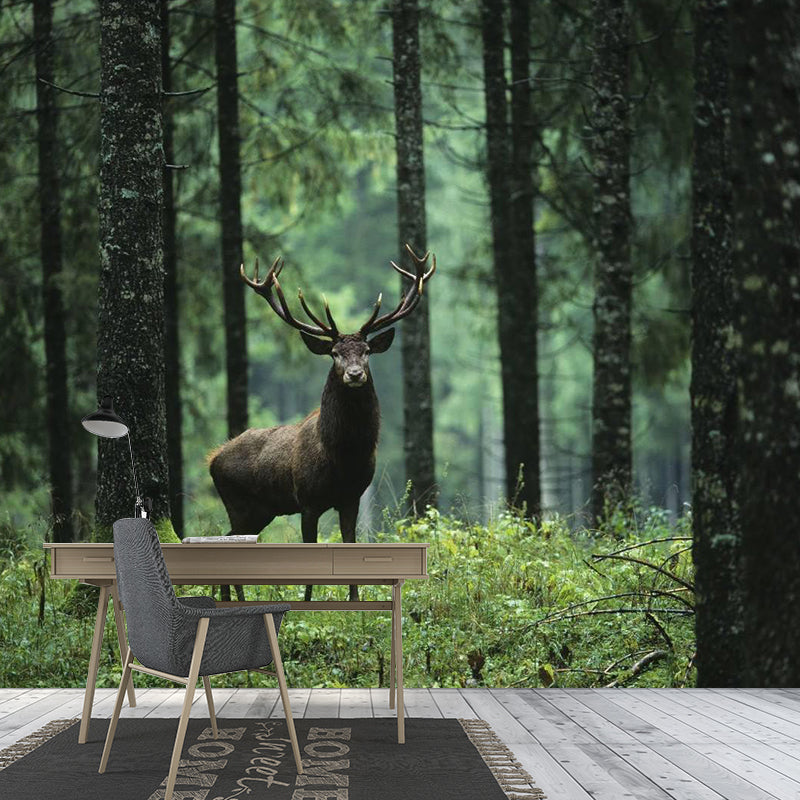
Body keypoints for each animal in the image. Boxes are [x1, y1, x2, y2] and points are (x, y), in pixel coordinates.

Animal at [208, 245, 436, 601]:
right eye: (334, 353)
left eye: (367, 350)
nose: (354, 374)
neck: (343, 456)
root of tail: (213, 458)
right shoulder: (308, 501)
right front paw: (308, 602)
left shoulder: (352, 497)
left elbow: (350, 545)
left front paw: (355, 600)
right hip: (238, 503)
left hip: (260, 510)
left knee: (229, 538)